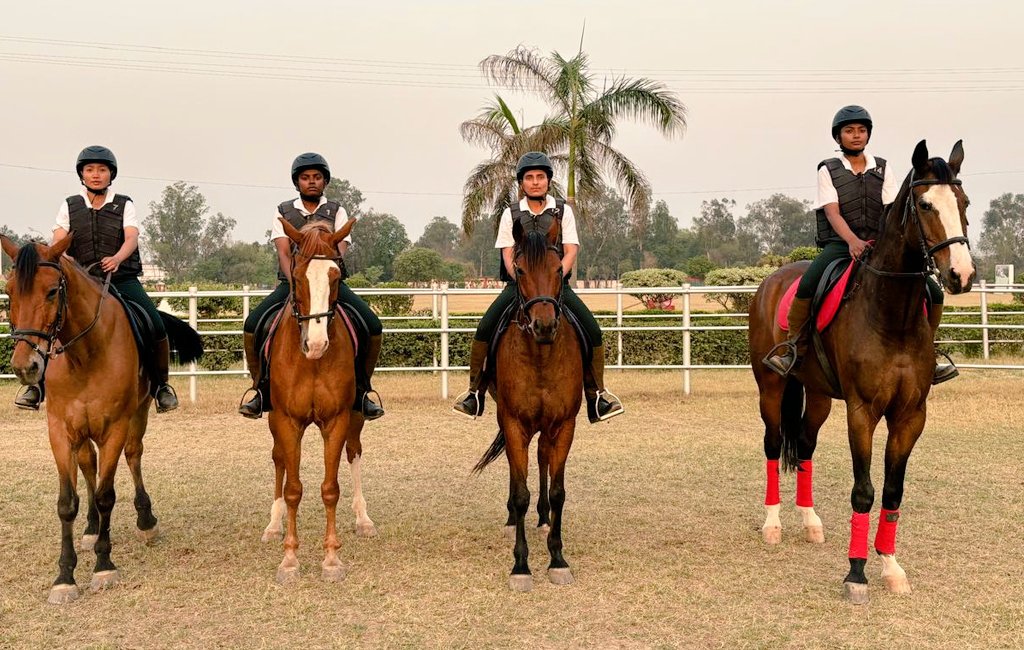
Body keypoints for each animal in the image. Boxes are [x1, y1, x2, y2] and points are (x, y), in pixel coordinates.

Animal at [0, 234, 203, 605]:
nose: (26, 367)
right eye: (10, 291)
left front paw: (104, 567)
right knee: (88, 465)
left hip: (137, 415)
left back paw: (145, 520)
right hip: (81, 433)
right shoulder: (60, 431)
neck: (84, 355)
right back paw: (93, 529)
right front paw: (64, 577)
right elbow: (68, 502)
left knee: (133, 455)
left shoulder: (115, 428)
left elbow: (107, 495)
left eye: (52, 291)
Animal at [258, 219, 378, 585]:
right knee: (278, 460)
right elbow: (294, 489)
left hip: (356, 416)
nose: (316, 344)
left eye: (335, 276)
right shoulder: (286, 420)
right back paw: (273, 524)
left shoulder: (337, 419)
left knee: (354, 452)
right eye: (297, 275)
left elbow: (330, 489)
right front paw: (289, 560)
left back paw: (363, 518)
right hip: (273, 420)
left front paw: (331, 559)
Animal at [473, 215, 585, 593]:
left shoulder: (564, 425)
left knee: (542, 459)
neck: (541, 356)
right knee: (516, 466)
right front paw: (521, 566)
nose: (544, 325)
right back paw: (513, 518)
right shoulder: (514, 422)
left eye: (558, 268)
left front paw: (558, 559)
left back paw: (544, 517)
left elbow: (559, 490)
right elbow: (520, 489)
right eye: (519, 270)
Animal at [749, 141, 978, 605]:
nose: (960, 275)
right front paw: (856, 573)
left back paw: (810, 521)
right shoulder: (862, 412)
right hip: (771, 388)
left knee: (804, 444)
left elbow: (892, 490)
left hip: (818, 395)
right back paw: (773, 524)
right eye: (925, 204)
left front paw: (890, 567)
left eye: (963, 203)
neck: (892, 315)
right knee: (773, 444)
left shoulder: (911, 416)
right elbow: (863, 491)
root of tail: (772, 279)